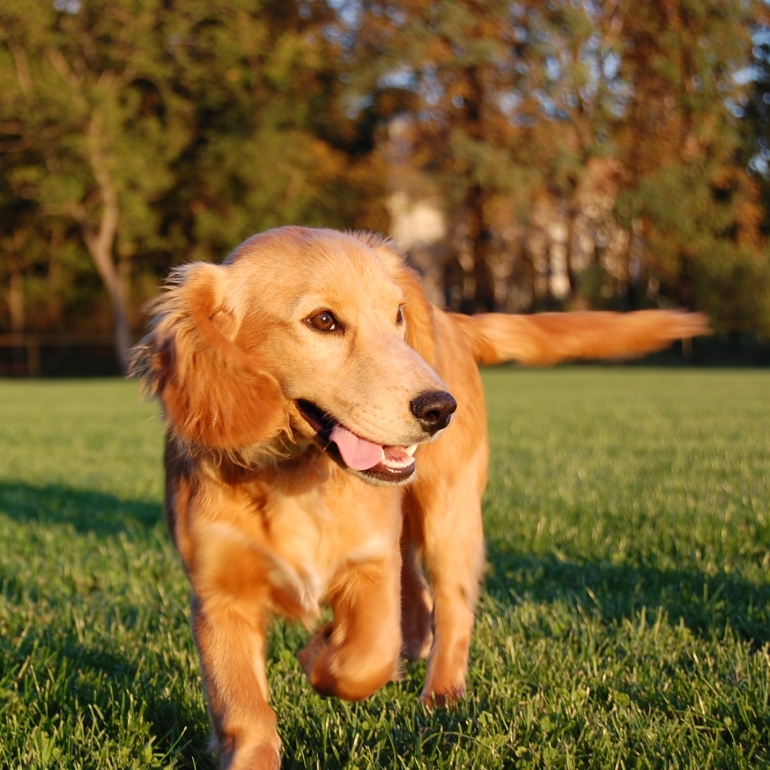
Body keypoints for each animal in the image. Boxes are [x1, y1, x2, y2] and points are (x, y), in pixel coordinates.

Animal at [130, 225, 708, 764]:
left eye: (398, 316)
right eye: (323, 321)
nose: (439, 409)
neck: (293, 474)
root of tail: (451, 316)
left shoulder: (370, 561)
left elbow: (363, 657)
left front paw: (319, 653)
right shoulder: (218, 594)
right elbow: (243, 706)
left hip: (450, 514)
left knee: (451, 607)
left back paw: (442, 693)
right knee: (419, 597)